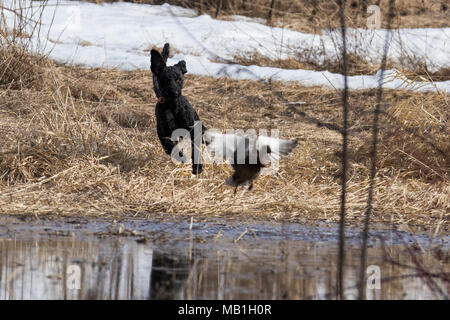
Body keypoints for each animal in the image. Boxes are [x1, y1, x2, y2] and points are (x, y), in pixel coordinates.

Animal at [151, 43, 207, 174]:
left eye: (178, 79)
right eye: (165, 80)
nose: (175, 93)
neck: (173, 107)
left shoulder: (194, 131)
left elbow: (196, 150)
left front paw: (197, 167)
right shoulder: (163, 134)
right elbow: (169, 147)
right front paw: (180, 157)